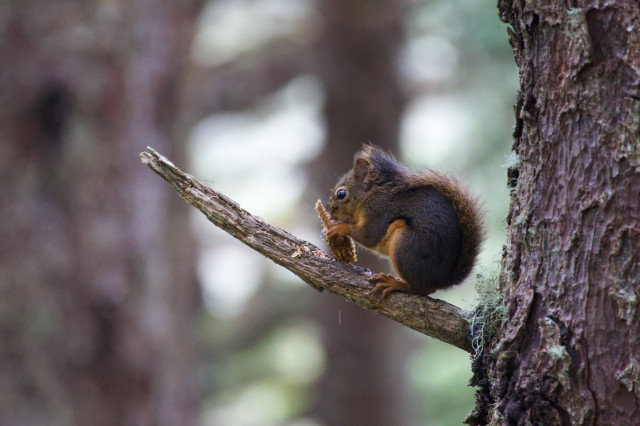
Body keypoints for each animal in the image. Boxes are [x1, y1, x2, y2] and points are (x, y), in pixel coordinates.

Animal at [324, 146, 484, 300]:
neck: (368, 195)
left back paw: (395, 284)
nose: (330, 213)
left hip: (406, 244)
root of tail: (444, 279)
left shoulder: (377, 211)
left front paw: (340, 228)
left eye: (341, 194)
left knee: (420, 288)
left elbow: (369, 235)